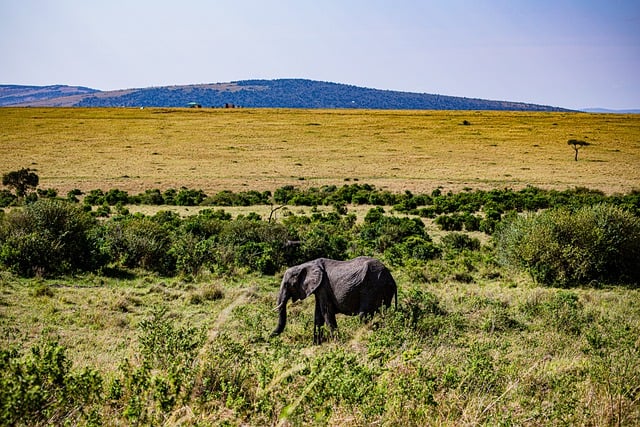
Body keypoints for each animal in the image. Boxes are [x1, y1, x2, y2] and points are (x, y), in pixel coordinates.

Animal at [272, 258, 400, 344]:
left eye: (287, 284)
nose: (269, 338)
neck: (306, 264)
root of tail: (392, 279)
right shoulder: (319, 288)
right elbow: (318, 315)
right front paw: (316, 344)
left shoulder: (323, 286)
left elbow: (326, 312)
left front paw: (336, 343)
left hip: (372, 288)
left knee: (364, 314)